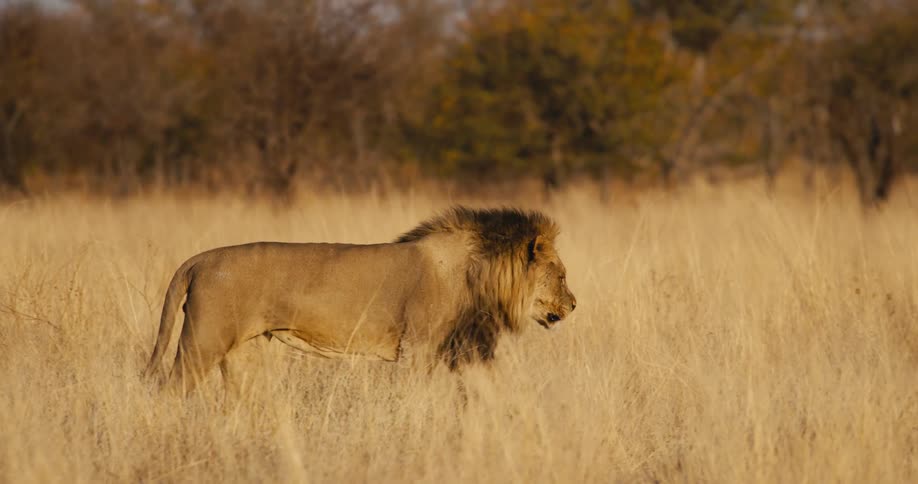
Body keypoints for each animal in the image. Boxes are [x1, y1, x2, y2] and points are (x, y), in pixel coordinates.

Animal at [143, 206, 576, 394]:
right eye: (561, 275)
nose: (573, 305)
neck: (476, 275)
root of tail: (199, 260)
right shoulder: (417, 349)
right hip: (202, 342)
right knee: (171, 389)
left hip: (240, 354)